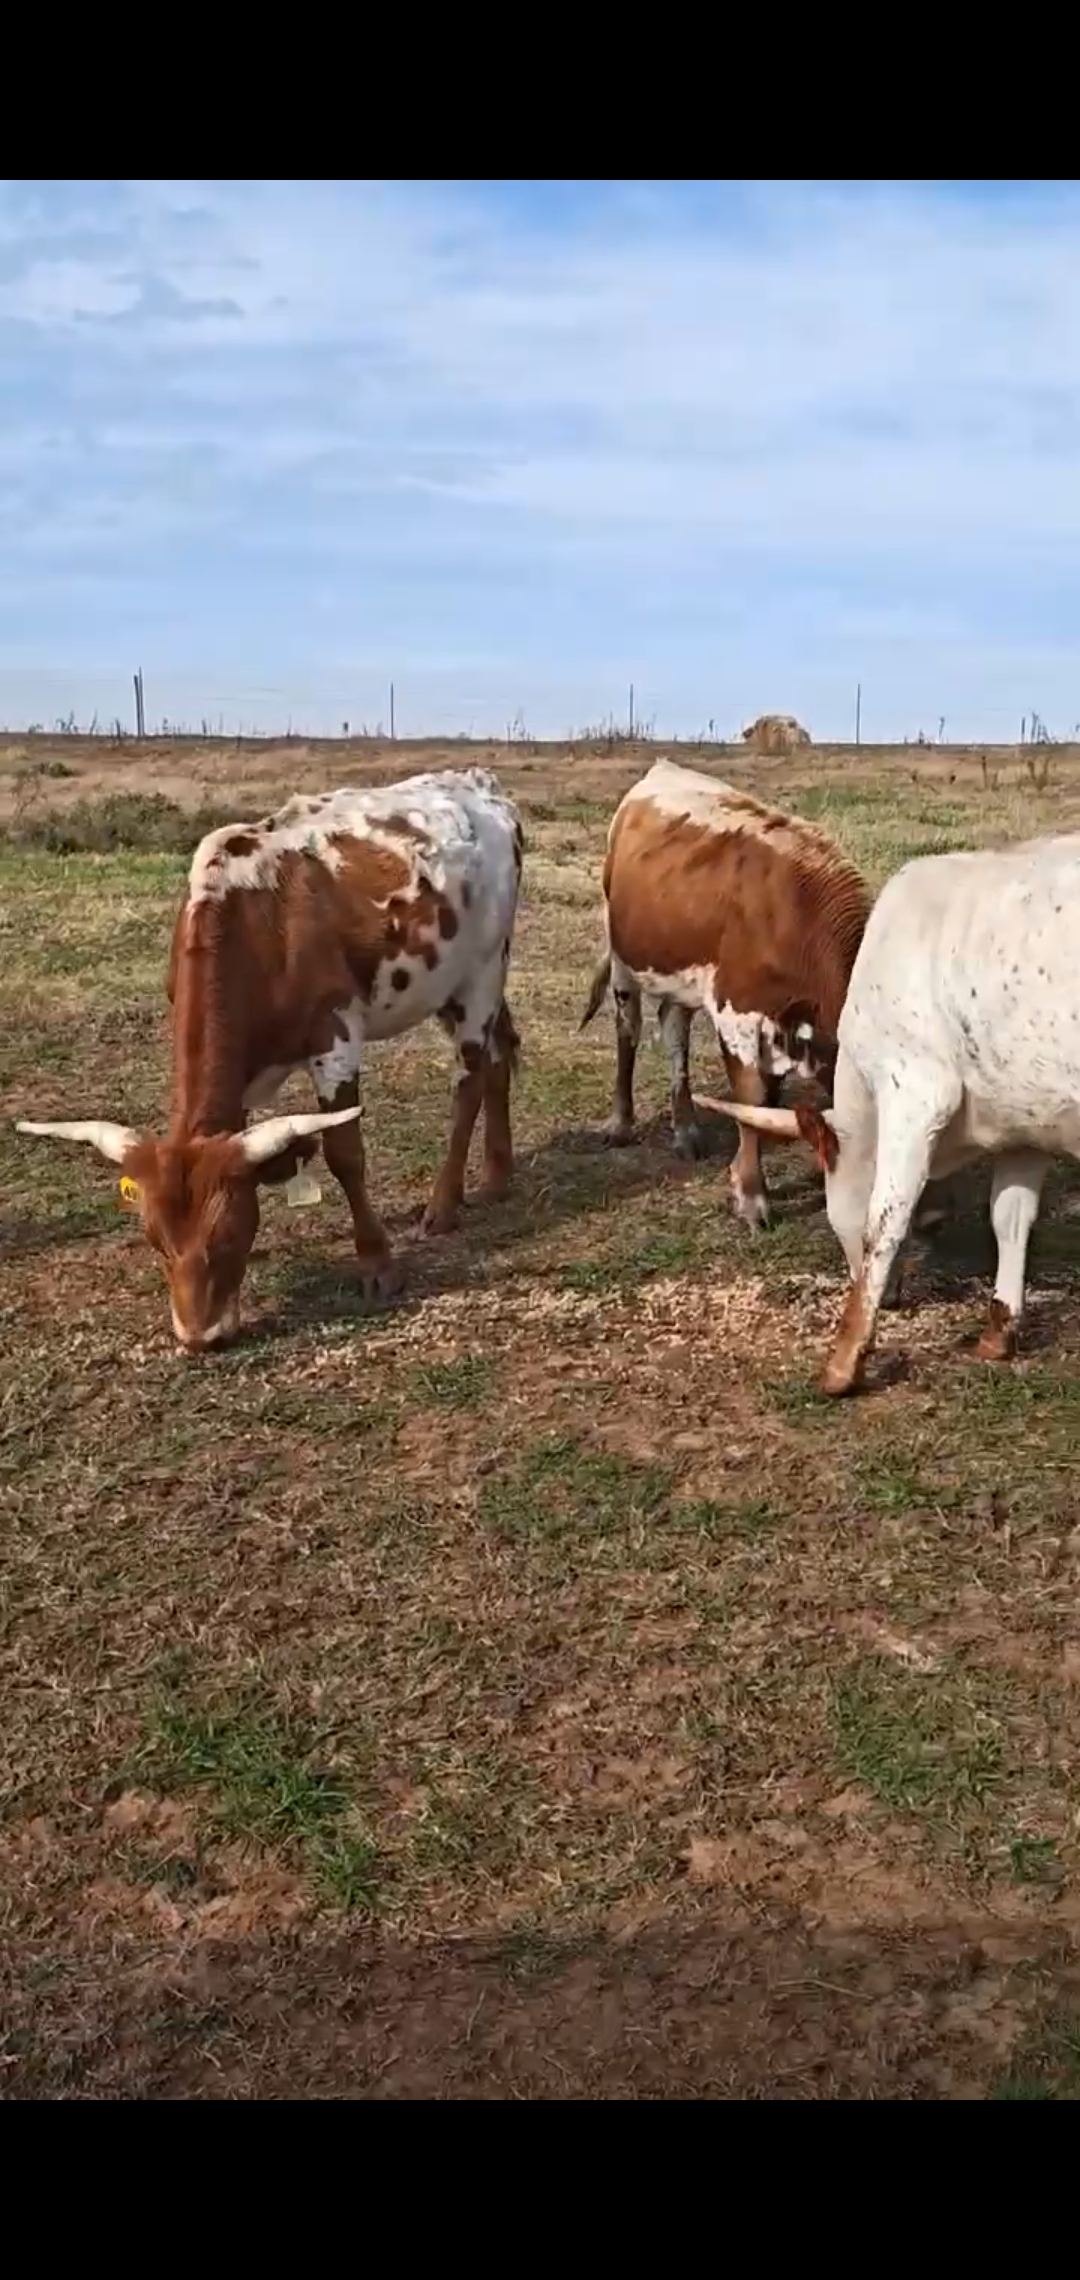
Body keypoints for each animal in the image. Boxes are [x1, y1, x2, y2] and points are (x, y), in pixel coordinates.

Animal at [17, 767, 523, 1351]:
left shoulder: (334, 1039)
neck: (258, 926)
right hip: (446, 987)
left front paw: (378, 1263)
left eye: (229, 1233)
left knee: (471, 1078)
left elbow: (345, 1153)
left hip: (482, 974)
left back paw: (444, 1203)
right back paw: (497, 1173)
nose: (200, 1337)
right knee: (501, 1054)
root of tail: (479, 782)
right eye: (155, 1240)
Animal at [578, 758, 872, 1229]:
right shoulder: (738, 1017)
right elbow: (752, 1099)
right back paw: (621, 1123)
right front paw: (751, 1194)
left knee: (674, 1032)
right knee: (629, 1029)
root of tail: (659, 770)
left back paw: (685, 1128)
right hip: (623, 955)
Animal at [696, 832, 1080, 1394]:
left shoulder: (914, 1095)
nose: (894, 1298)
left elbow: (884, 1222)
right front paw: (999, 1329)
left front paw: (845, 1358)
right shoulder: (1023, 1120)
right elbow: (1010, 1217)